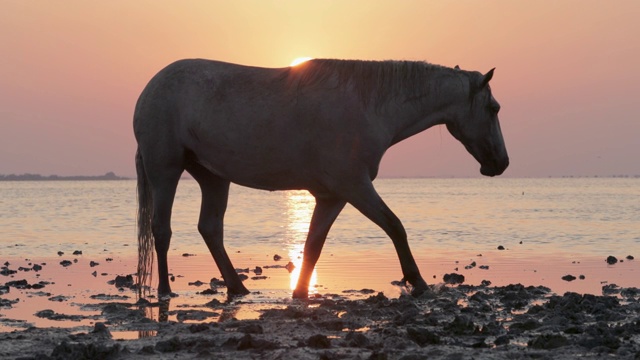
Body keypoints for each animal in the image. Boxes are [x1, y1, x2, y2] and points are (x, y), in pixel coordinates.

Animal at [135, 59, 510, 300]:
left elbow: (314, 244)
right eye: (493, 108)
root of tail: (150, 89)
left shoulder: (332, 196)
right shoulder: (354, 187)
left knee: (210, 229)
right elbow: (395, 226)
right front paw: (417, 282)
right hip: (165, 170)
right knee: (162, 230)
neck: (369, 106)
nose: (502, 163)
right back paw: (165, 290)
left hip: (213, 178)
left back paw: (238, 288)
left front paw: (301, 292)